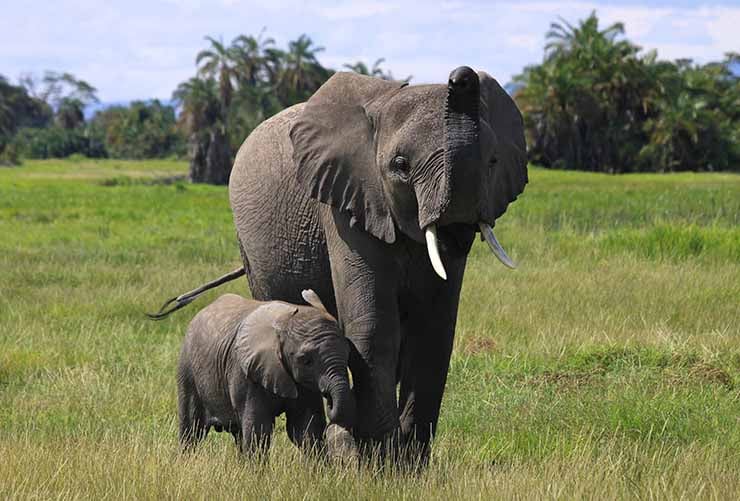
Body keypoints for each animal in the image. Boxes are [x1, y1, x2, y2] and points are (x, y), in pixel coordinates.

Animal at [176, 290, 356, 458]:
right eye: (306, 360)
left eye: (348, 354)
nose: (329, 400)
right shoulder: (245, 373)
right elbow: (258, 428)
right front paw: (256, 471)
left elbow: (305, 426)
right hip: (187, 369)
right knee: (192, 429)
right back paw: (187, 461)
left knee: (237, 433)